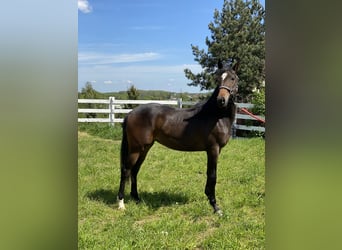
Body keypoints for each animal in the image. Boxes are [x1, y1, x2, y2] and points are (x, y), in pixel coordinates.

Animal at [117, 62, 238, 215]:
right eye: (218, 79)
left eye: (233, 78)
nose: (221, 100)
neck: (216, 115)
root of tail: (130, 113)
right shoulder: (213, 149)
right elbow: (212, 175)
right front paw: (215, 206)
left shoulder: (215, 150)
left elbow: (209, 174)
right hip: (135, 149)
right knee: (126, 170)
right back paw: (121, 204)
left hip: (144, 149)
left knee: (135, 170)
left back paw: (137, 199)